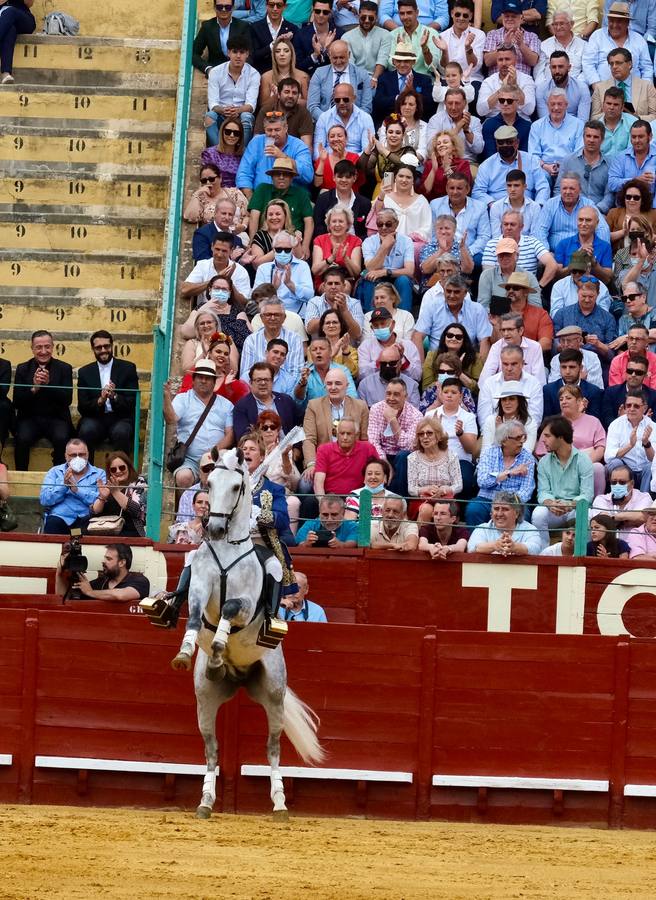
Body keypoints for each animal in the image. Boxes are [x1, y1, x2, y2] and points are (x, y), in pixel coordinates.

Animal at [169, 446, 322, 820]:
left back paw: (280, 803)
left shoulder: (247, 602)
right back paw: (206, 801)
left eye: (238, 486)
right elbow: (194, 616)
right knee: (212, 749)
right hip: (205, 699)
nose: (215, 527)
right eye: (209, 482)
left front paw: (220, 643)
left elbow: (229, 609)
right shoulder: (198, 588)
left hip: (274, 696)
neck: (227, 549)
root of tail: (238, 678)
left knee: (273, 748)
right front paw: (186, 652)